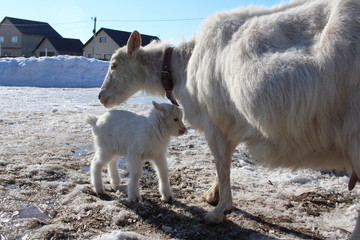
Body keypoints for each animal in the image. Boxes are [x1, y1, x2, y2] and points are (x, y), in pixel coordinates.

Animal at [97, 0, 360, 237]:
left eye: (114, 65)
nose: (101, 97)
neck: (183, 65)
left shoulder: (215, 122)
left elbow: (221, 164)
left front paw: (219, 211)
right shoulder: (230, 124)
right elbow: (224, 162)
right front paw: (213, 197)